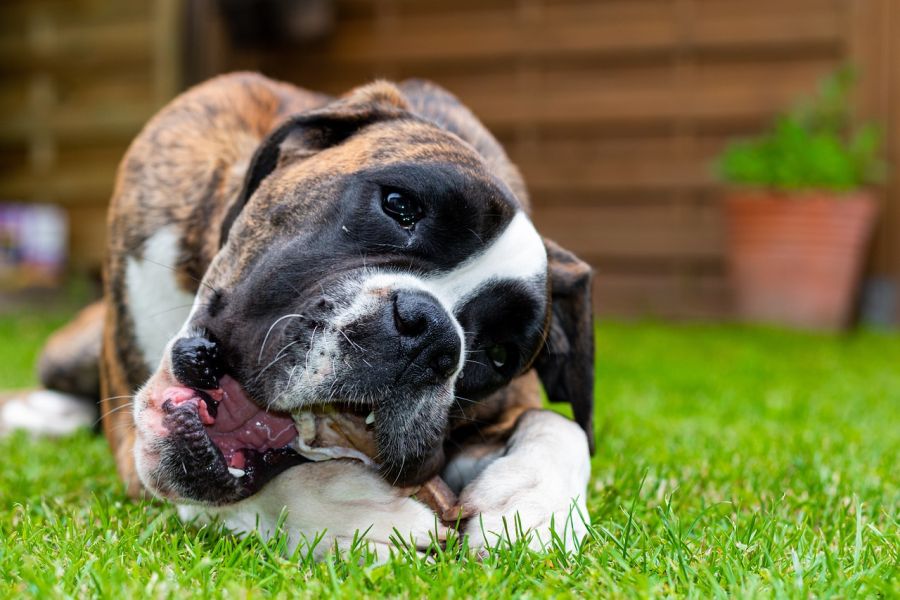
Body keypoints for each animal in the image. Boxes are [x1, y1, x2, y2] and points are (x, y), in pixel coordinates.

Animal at [1, 72, 596, 556]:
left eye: (496, 354)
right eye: (399, 205)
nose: (432, 336)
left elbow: (562, 424)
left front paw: (532, 508)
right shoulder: (135, 435)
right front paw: (359, 513)